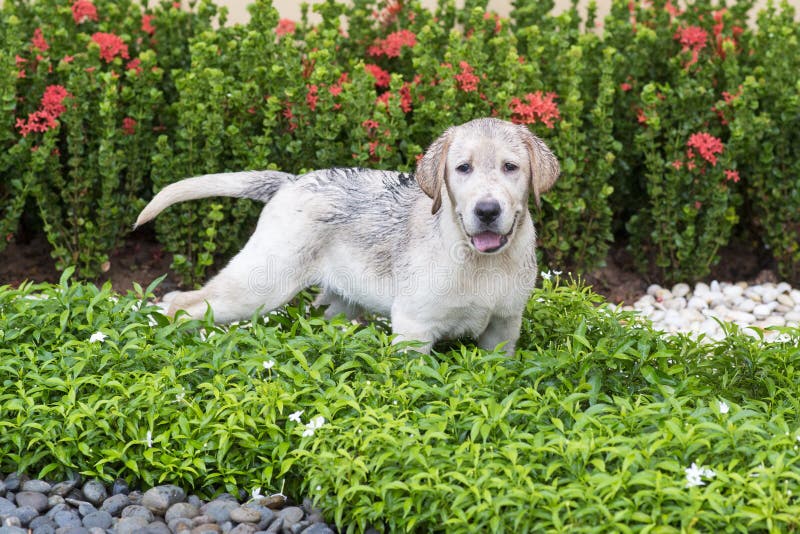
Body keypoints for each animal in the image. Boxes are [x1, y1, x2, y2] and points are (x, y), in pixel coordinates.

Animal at [134, 119, 560, 354]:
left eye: (510, 167)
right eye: (463, 168)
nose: (487, 211)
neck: (482, 263)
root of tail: (291, 181)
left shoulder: (503, 328)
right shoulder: (414, 327)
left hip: (340, 302)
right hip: (260, 284)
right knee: (180, 301)